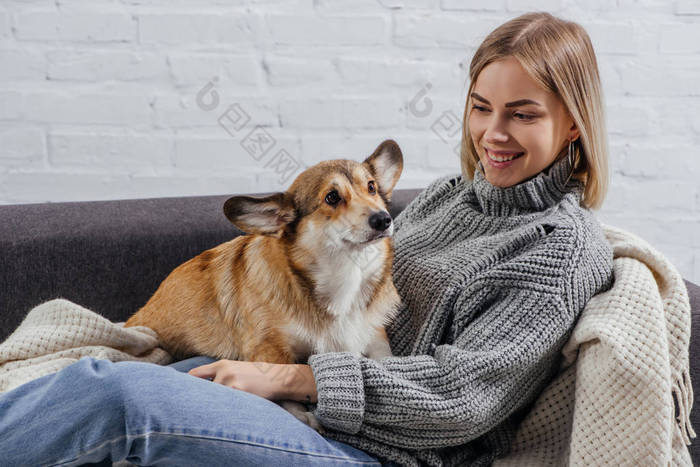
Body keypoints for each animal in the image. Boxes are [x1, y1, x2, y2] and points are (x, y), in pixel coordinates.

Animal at [123, 139, 402, 428]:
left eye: (371, 187)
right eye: (332, 197)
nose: (383, 219)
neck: (345, 276)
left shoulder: (375, 340)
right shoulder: (269, 348)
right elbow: (283, 380)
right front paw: (300, 412)